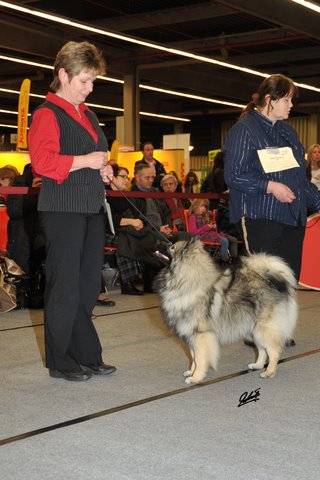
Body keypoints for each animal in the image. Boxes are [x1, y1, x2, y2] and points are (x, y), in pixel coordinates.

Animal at [155, 240, 298, 386]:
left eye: (172, 247)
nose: (159, 241)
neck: (186, 283)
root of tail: (271, 281)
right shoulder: (191, 336)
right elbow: (194, 357)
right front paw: (191, 372)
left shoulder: (201, 335)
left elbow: (200, 359)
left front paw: (196, 377)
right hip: (252, 330)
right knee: (262, 349)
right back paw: (257, 365)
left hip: (263, 329)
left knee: (274, 350)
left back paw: (269, 372)